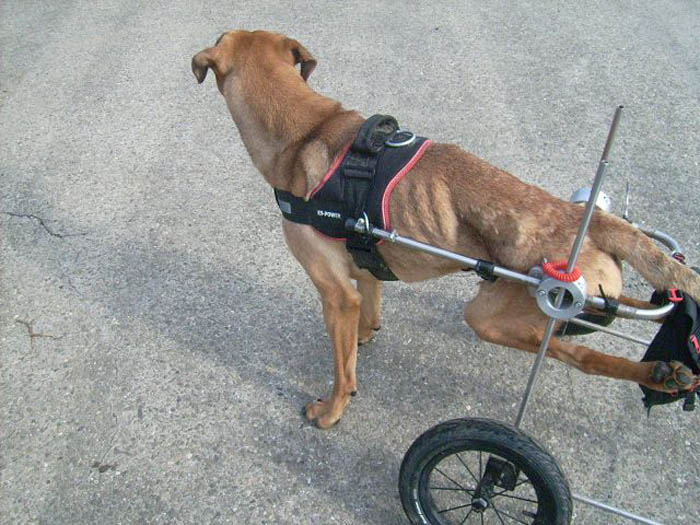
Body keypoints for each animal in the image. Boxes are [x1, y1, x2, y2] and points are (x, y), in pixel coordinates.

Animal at [192, 30, 700, 428]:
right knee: (622, 309)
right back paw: (667, 334)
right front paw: (365, 336)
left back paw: (658, 373)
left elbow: (342, 369)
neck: (307, 130)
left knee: (576, 354)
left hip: (493, 316)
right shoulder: (365, 271)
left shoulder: (336, 295)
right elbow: (366, 317)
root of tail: (581, 215)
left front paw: (333, 409)